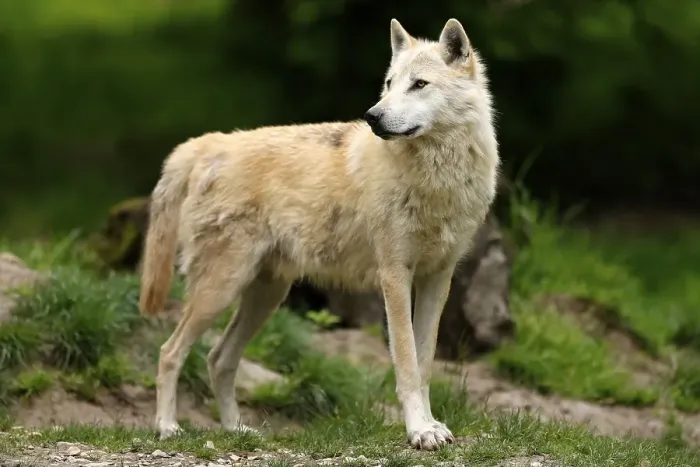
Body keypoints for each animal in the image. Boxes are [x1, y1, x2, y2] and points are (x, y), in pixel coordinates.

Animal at [138, 18, 499, 450]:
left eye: (419, 84)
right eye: (390, 83)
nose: (373, 116)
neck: (437, 176)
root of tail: (208, 143)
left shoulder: (437, 279)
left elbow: (424, 363)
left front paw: (431, 426)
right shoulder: (394, 276)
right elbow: (407, 364)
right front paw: (418, 431)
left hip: (265, 296)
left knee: (218, 359)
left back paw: (236, 430)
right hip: (220, 291)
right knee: (169, 351)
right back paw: (166, 427)